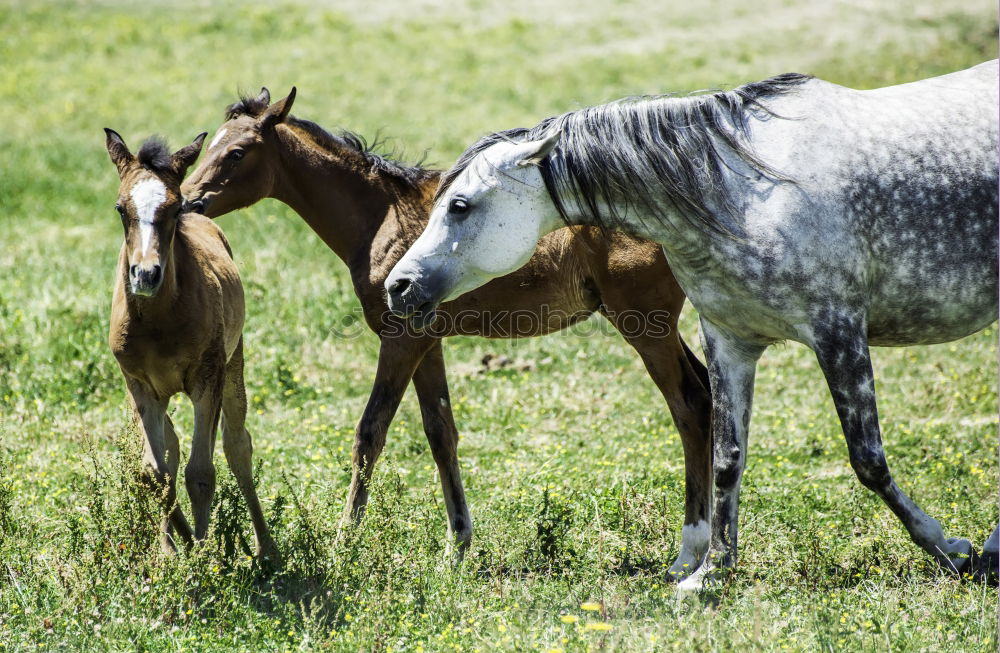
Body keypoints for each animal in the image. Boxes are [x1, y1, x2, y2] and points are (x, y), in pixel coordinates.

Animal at [180, 89, 712, 572]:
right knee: (708, 392)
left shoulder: (400, 338)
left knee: (689, 404)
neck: (379, 217)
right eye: (210, 147)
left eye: (237, 152)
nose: (189, 203)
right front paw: (457, 544)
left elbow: (370, 432)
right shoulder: (427, 340)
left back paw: (693, 551)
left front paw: (344, 540)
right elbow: (440, 432)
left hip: (644, 325)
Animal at [384, 62, 1000, 592]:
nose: (398, 285)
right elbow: (727, 456)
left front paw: (949, 548)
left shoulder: (838, 331)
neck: (747, 195)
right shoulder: (730, 340)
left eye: (460, 206)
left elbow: (868, 459)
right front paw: (711, 573)